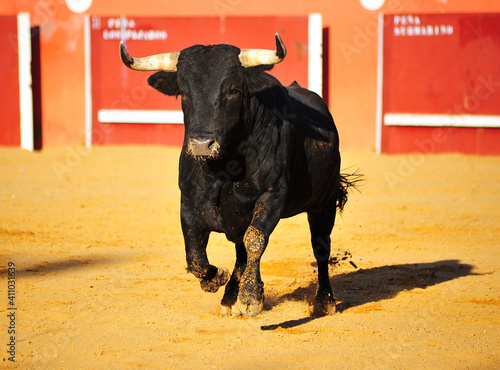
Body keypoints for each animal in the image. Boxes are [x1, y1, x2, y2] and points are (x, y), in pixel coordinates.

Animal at [121, 34, 360, 316]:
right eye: (184, 92)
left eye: (233, 90)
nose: (202, 145)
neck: (224, 168)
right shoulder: (189, 202)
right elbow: (195, 255)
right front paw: (217, 279)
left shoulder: (272, 195)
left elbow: (255, 239)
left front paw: (250, 299)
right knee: (240, 252)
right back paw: (228, 298)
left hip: (324, 204)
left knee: (320, 246)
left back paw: (324, 301)